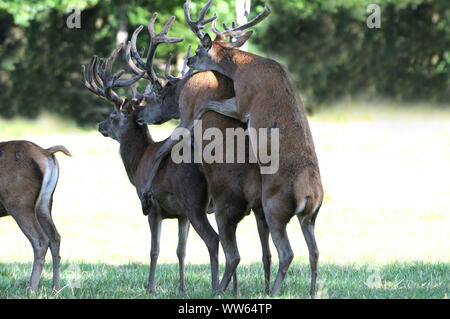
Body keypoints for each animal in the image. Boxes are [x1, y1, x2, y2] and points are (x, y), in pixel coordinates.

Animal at [0, 140, 71, 292]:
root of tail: (46, 151)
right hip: (44, 204)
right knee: (55, 237)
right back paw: (56, 288)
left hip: (19, 203)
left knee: (40, 240)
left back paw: (31, 289)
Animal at [81, 38, 222, 294]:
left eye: (113, 115)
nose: (100, 125)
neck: (138, 163)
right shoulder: (181, 215)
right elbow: (181, 251)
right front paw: (182, 287)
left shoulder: (153, 206)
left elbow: (154, 250)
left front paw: (150, 287)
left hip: (194, 201)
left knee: (213, 239)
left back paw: (216, 287)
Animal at [128, 18, 272, 296]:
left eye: (153, 97)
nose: (139, 116)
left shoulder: (186, 122)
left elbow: (162, 151)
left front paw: (146, 193)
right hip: (259, 209)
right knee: (265, 250)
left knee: (226, 245)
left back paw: (220, 287)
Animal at [184, 0, 324, 298]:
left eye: (200, 50)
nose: (189, 61)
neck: (242, 67)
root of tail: (310, 194)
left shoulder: (243, 101)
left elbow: (207, 105)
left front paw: (191, 123)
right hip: (311, 216)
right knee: (315, 252)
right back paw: (311, 291)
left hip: (274, 206)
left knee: (287, 252)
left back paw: (273, 292)